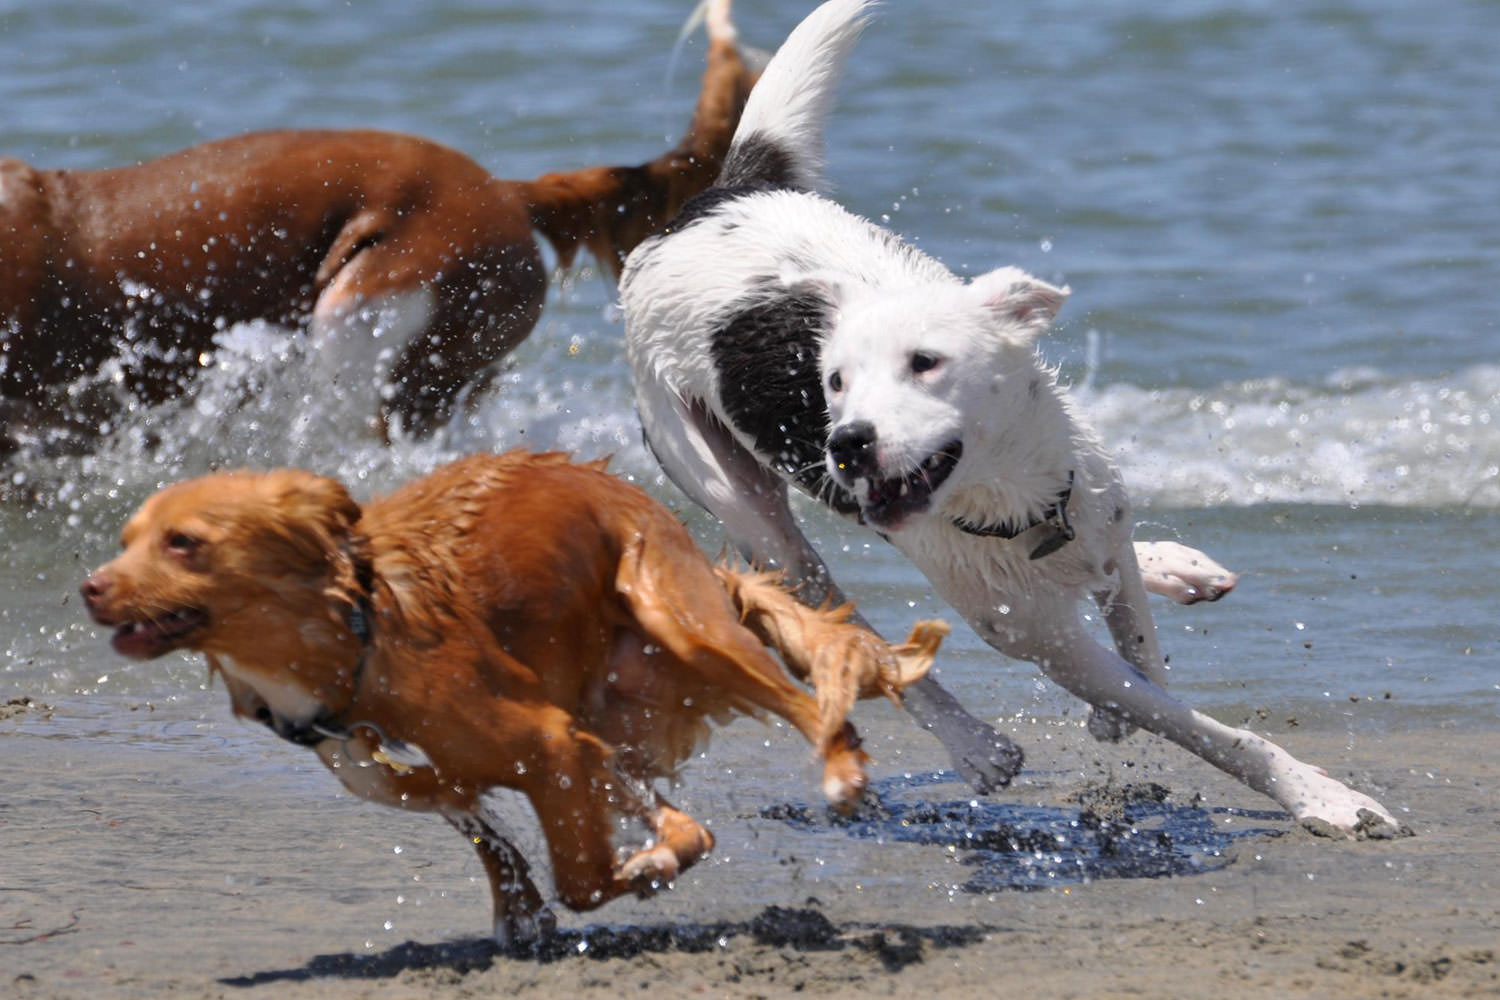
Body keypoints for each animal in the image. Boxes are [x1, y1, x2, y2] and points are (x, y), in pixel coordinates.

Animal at [79, 452, 936, 947]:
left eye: (184, 543)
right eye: (124, 541)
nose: (88, 587)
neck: (356, 636)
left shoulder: (548, 741)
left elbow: (584, 881)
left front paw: (633, 876)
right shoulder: (423, 774)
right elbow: (494, 838)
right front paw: (523, 909)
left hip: (681, 620)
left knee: (807, 702)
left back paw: (841, 770)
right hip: (613, 707)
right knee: (676, 809)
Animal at [621, 0, 1404, 839]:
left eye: (924, 362)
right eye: (833, 382)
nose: (846, 442)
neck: (1021, 508)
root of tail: (707, 205)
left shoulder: (1091, 520)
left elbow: (1142, 650)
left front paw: (1129, 687)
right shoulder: (1048, 643)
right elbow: (1192, 722)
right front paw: (1322, 796)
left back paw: (1173, 566)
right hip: (738, 501)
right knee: (843, 622)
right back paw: (972, 744)